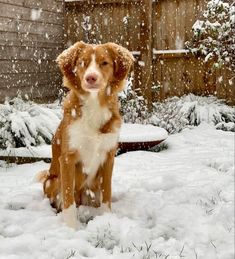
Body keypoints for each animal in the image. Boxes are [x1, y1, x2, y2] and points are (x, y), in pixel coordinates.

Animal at [38, 41, 134, 229]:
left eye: (104, 63)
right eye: (83, 63)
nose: (91, 78)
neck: (94, 105)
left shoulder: (109, 156)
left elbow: (107, 193)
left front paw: (107, 219)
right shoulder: (67, 159)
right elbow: (68, 198)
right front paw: (71, 228)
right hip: (52, 180)